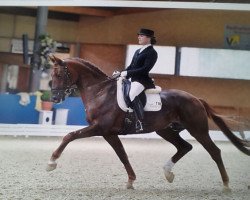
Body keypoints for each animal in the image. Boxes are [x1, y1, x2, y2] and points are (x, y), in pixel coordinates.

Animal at [46, 55, 249, 191]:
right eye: (51, 75)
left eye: (60, 74)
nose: (54, 98)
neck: (100, 92)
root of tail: (196, 98)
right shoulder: (109, 133)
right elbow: (122, 155)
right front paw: (130, 180)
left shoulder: (101, 128)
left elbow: (69, 135)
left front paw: (51, 162)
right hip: (165, 130)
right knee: (184, 147)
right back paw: (168, 172)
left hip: (197, 129)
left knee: (214, 151)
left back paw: (226, 185)